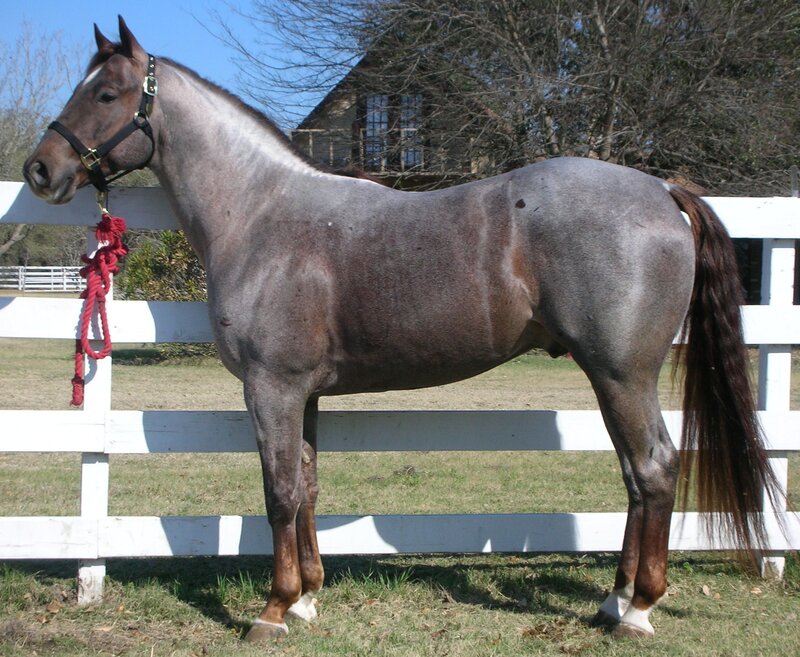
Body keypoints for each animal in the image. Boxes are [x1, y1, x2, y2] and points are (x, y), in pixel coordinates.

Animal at [24, 17, 779, 642]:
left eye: (108, 93)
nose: (39, 170)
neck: (262, 214)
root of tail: (663, 192)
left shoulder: (271, 388)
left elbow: (278, 493)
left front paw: (273, 610)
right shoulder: (303, 394)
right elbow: (307, 485)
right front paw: (308, 598)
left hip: (622, 373)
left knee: (654, 469)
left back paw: (639, 610)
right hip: (611, 377)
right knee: (634, 476)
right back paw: (613, 599)